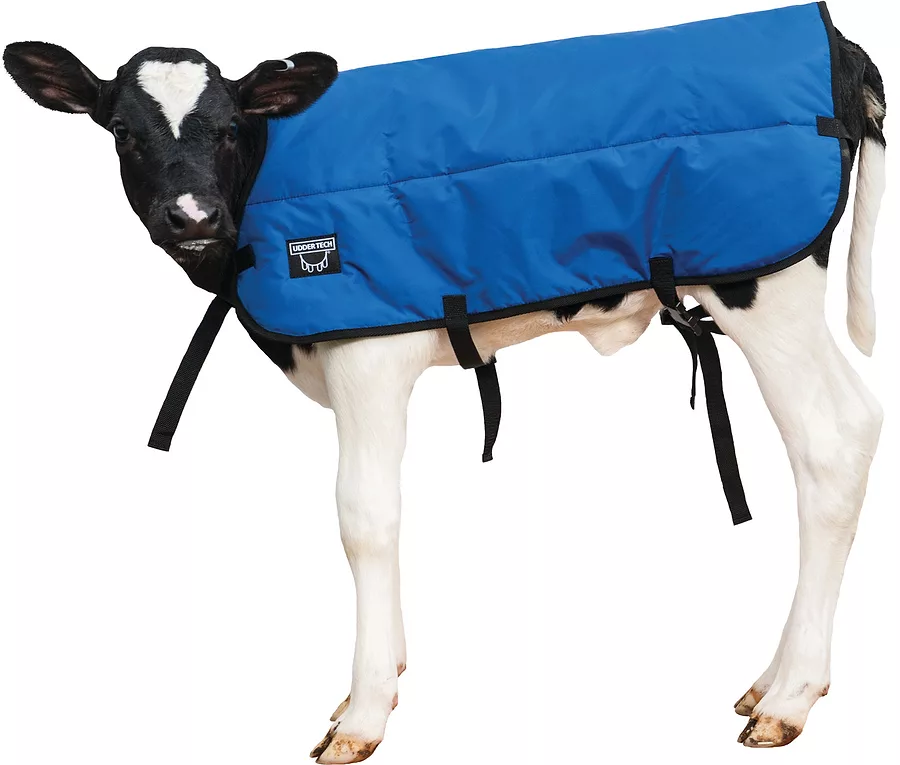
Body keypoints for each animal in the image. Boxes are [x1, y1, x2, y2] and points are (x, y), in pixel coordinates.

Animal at [2, 20, 886, 763]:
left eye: (225, 128)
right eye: (123, 133)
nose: (191, 216)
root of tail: (837, 41)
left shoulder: (366, 356)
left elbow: (365, 516)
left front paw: (363, 713)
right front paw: (380, 678)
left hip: (764, 290)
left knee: (833, 441)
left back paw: (791, 695)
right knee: (865, 416)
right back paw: (772, 680)